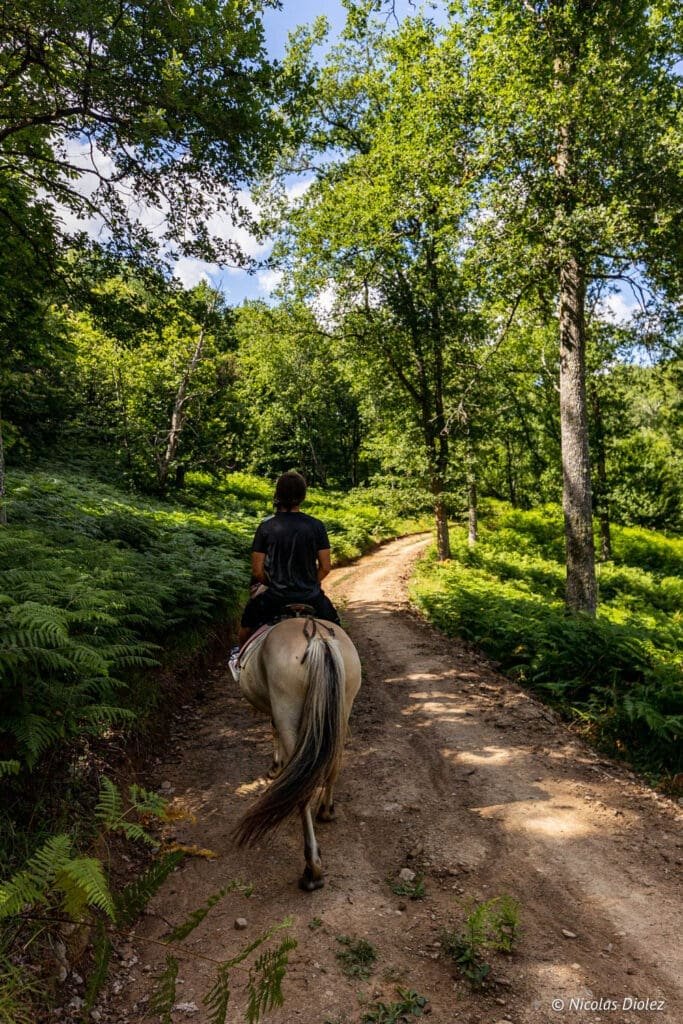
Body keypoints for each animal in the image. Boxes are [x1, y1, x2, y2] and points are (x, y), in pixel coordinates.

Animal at [232, 614, 361, 891]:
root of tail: (316, 637)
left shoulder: (276, 712)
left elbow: (273, 730)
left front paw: (275, 768)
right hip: (342, 707)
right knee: (333, 766)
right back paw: (327, 811)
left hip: (287, 709)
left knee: (303, 788)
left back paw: (312, 869)